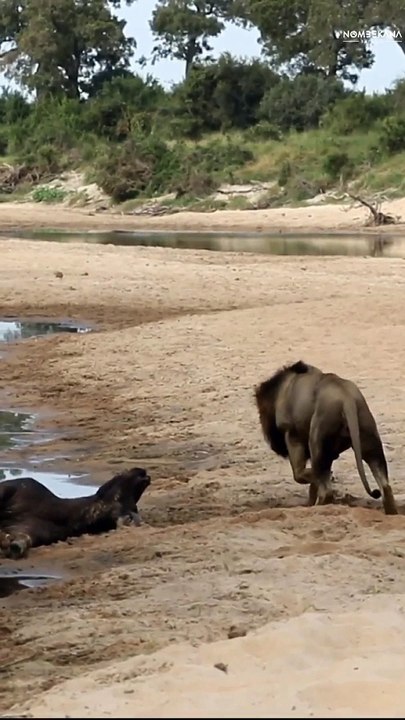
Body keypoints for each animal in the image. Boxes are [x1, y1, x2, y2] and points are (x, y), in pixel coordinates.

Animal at [254, 360, 398, 515]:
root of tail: (347, 399)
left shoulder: (292, 434)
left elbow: (299, 474)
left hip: (317, 438)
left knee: (326, 490)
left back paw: (318, 507)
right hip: (368, 438)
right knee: (385, 486)